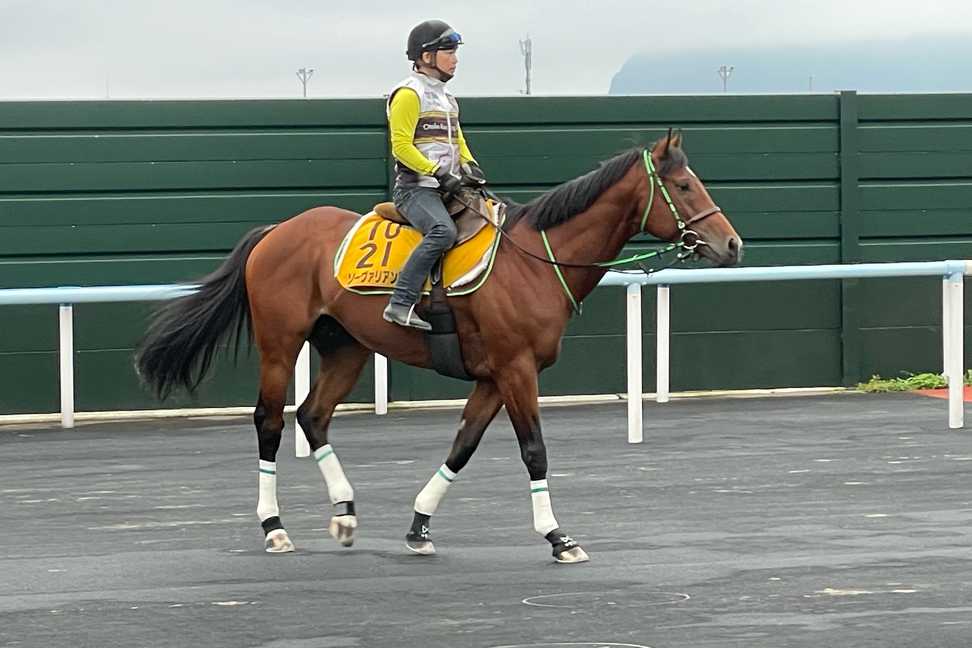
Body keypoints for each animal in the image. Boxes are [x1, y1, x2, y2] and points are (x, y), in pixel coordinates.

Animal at [137, 134, 744, 564]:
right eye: (684, 187)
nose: (732, 244)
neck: (535, 259)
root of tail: (276, 231)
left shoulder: (494, 376)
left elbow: (463, 446)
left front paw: (418, 527)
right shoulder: (516, 370)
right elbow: (534, 451)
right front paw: (558, 536)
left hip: (347, 347)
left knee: (313, 415)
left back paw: (346, 513)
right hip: (280, 345)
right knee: (268, 419)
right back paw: (275, 528)